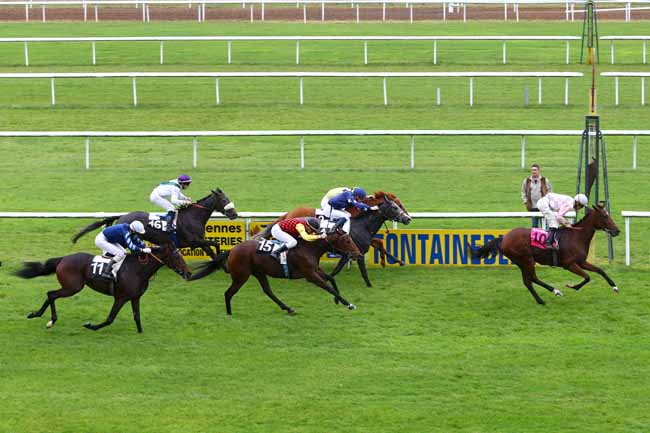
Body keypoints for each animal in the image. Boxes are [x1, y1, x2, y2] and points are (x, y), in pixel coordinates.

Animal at [15, 243, 192, 333]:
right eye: (177, 257)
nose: (189, 273)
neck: (137, 269)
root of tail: (63, 259)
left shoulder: (135, 297)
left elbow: (137, 317)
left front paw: (141, 333)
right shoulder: (121, 298)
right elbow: (110, 319)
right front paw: (91, 326)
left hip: (70, 287)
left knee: (51, 294)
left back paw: (38, 315)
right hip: (73, 287)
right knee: (51, 294)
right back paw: (50, 320)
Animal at [72, 188, 237, 259]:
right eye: (224, 200)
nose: (234, 214)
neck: (193, 217)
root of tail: (123, 216)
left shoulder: (199, 242)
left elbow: (212, 249)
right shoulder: (195, 241)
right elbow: (215, 244)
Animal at [189, 229, 362, 316]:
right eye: (347, 240)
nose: (358, 254)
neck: (309, 248)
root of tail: (232, 250)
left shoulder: (314, 270)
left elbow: (331, 279)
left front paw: (337, 300)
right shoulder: (310, 275)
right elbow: (328, 286)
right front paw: (349, 304)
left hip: (259, 272)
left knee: (268, 291)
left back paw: (288, 308)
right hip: (241, 276)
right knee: (228, 293)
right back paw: (229, 314)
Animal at [469, 204, 620, 305]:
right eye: (605, 216)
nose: (617, 231)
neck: (576, 236)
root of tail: (504, 238)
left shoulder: (581, 262)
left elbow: (600, 271)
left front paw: (614, 287)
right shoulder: (569, 264)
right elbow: (587, 277)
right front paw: (572, 286)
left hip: (522, 262)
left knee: (529, 280)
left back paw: (546, 296)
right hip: (526, 259)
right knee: (531, 279)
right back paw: (550, 294)